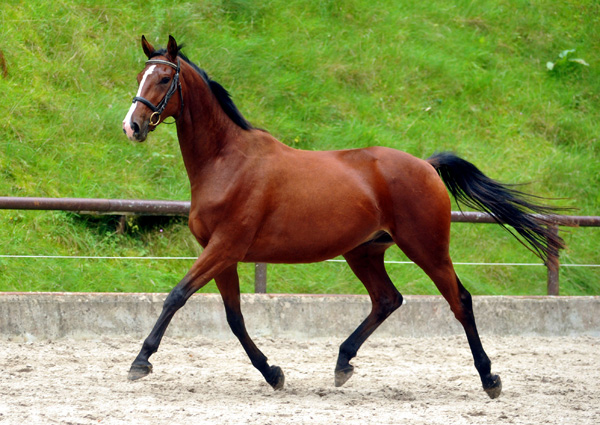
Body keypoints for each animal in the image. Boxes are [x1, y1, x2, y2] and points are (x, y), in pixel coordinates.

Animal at [120, 35, 564, 398]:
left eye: (164, 79)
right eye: (141, 76)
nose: (132, 126)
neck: (227, 162)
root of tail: (426, 165)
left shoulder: (225, 247)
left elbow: (177, 295)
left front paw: (140, 362)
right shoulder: (222, 254)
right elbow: (234, 317)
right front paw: (273, 373)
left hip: (427, 249)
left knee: (461, 301)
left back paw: (489, 378)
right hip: (364, 251)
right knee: (387, 299)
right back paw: (342, 362)